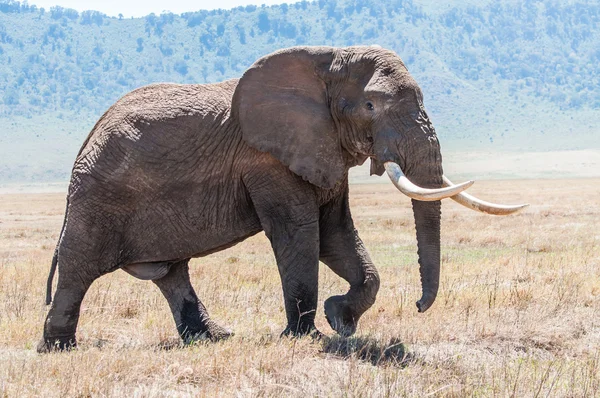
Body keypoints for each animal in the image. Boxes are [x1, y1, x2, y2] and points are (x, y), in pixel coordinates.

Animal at [37, 45, 524, 352]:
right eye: (371, 107)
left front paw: (340, 320)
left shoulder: (321, 150)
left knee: (171, 273)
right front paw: (306, 336)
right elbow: (300, 234)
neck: (327, 59)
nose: (420, 306)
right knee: (79, 269)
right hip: (98, 196)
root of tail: (88, 138)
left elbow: (335, 235)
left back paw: (215, 338)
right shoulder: (268, 161)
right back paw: (58, 348)